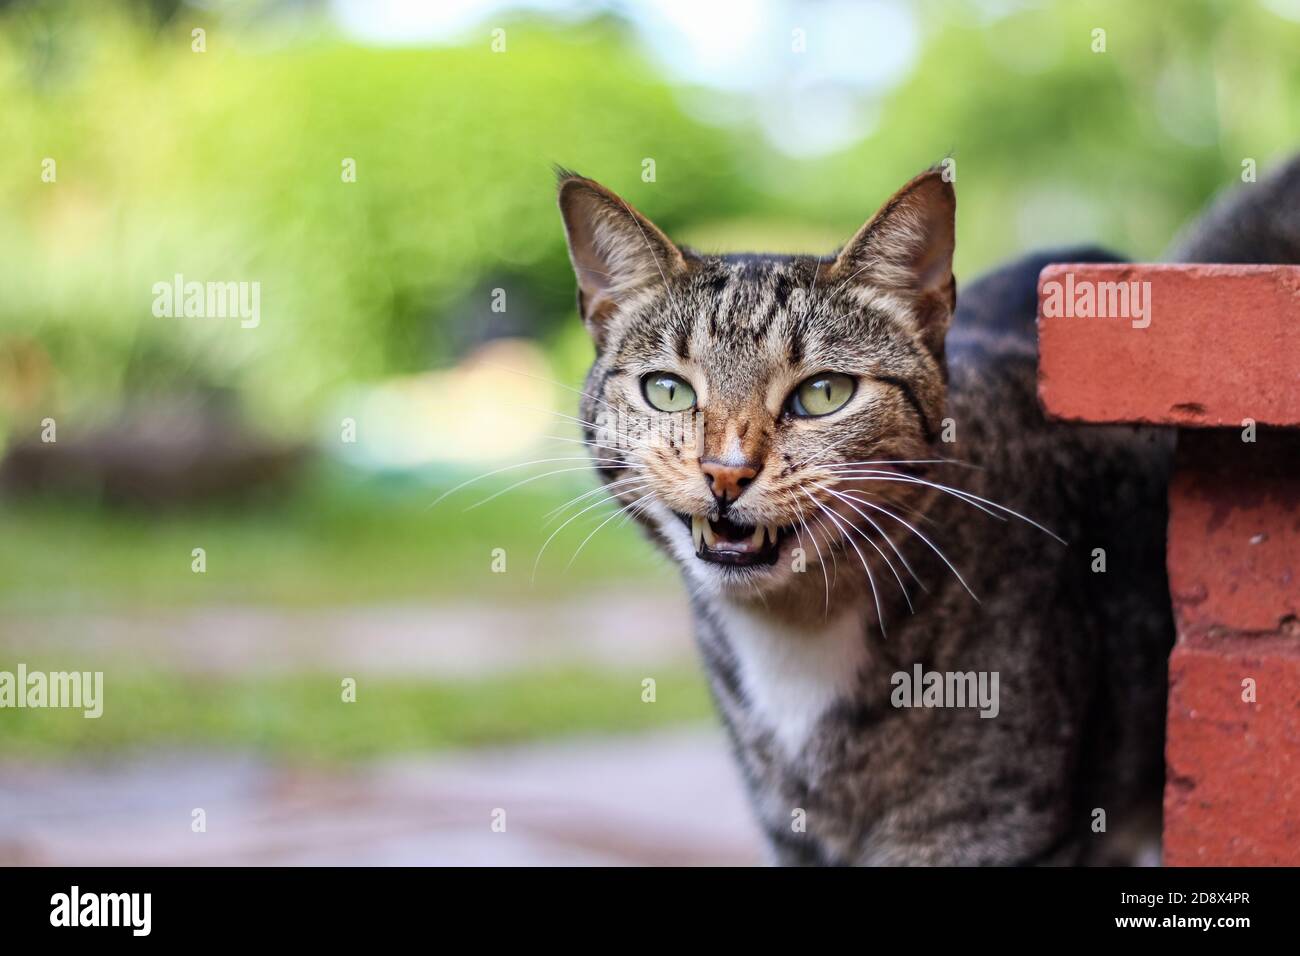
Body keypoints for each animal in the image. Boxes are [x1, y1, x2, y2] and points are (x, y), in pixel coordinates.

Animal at [551, 158, 1300, 868]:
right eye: (668, 391)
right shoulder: (794, 837)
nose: (726, 471)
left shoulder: (985, 829)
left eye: (824, 394)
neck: (798, 632)